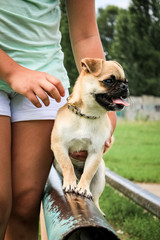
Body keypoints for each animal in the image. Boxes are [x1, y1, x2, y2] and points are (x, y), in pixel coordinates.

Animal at [50, 57, 129, 214]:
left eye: (126, 81)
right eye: (109, 81)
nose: (124, 86)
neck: (87, 115)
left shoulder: (95, 153)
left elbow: (88, 173)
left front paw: (83, 188)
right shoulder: (59, 146)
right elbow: (68, 165)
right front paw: (70, 183)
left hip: (100, 174)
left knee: (96, 197)